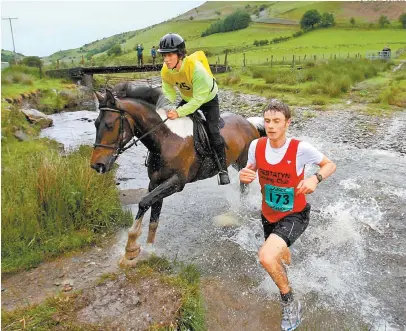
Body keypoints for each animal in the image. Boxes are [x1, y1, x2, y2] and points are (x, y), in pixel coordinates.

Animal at [90, 86, 264, 268]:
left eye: (109, 125)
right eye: (96, 124)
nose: (97, 165)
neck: (165, 140)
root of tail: (249, 123)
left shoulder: (176, 182)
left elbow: (143, 202)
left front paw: (130, 249)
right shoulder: (156, 183)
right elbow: (153, 216)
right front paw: (148, 249)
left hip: (244, 163)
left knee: (246, 187)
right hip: (236, 164)